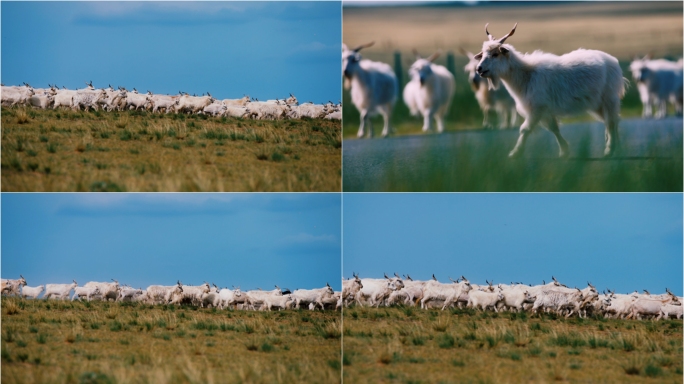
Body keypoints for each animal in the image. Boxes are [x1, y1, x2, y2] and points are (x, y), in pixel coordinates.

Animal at [476, 23, 624, 158]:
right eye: (482, 54)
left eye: (495, 54)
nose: (479, 69)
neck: (526, 74)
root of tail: (613, 61)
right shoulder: (545, 110)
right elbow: (554, 128)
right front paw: (564, 151)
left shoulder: (537, 109)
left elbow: (525, 129)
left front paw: (515, 153)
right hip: (597, 104)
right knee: (612, 120)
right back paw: (615, 147)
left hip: (608, 98)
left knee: (611, 121)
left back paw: (610, 150)